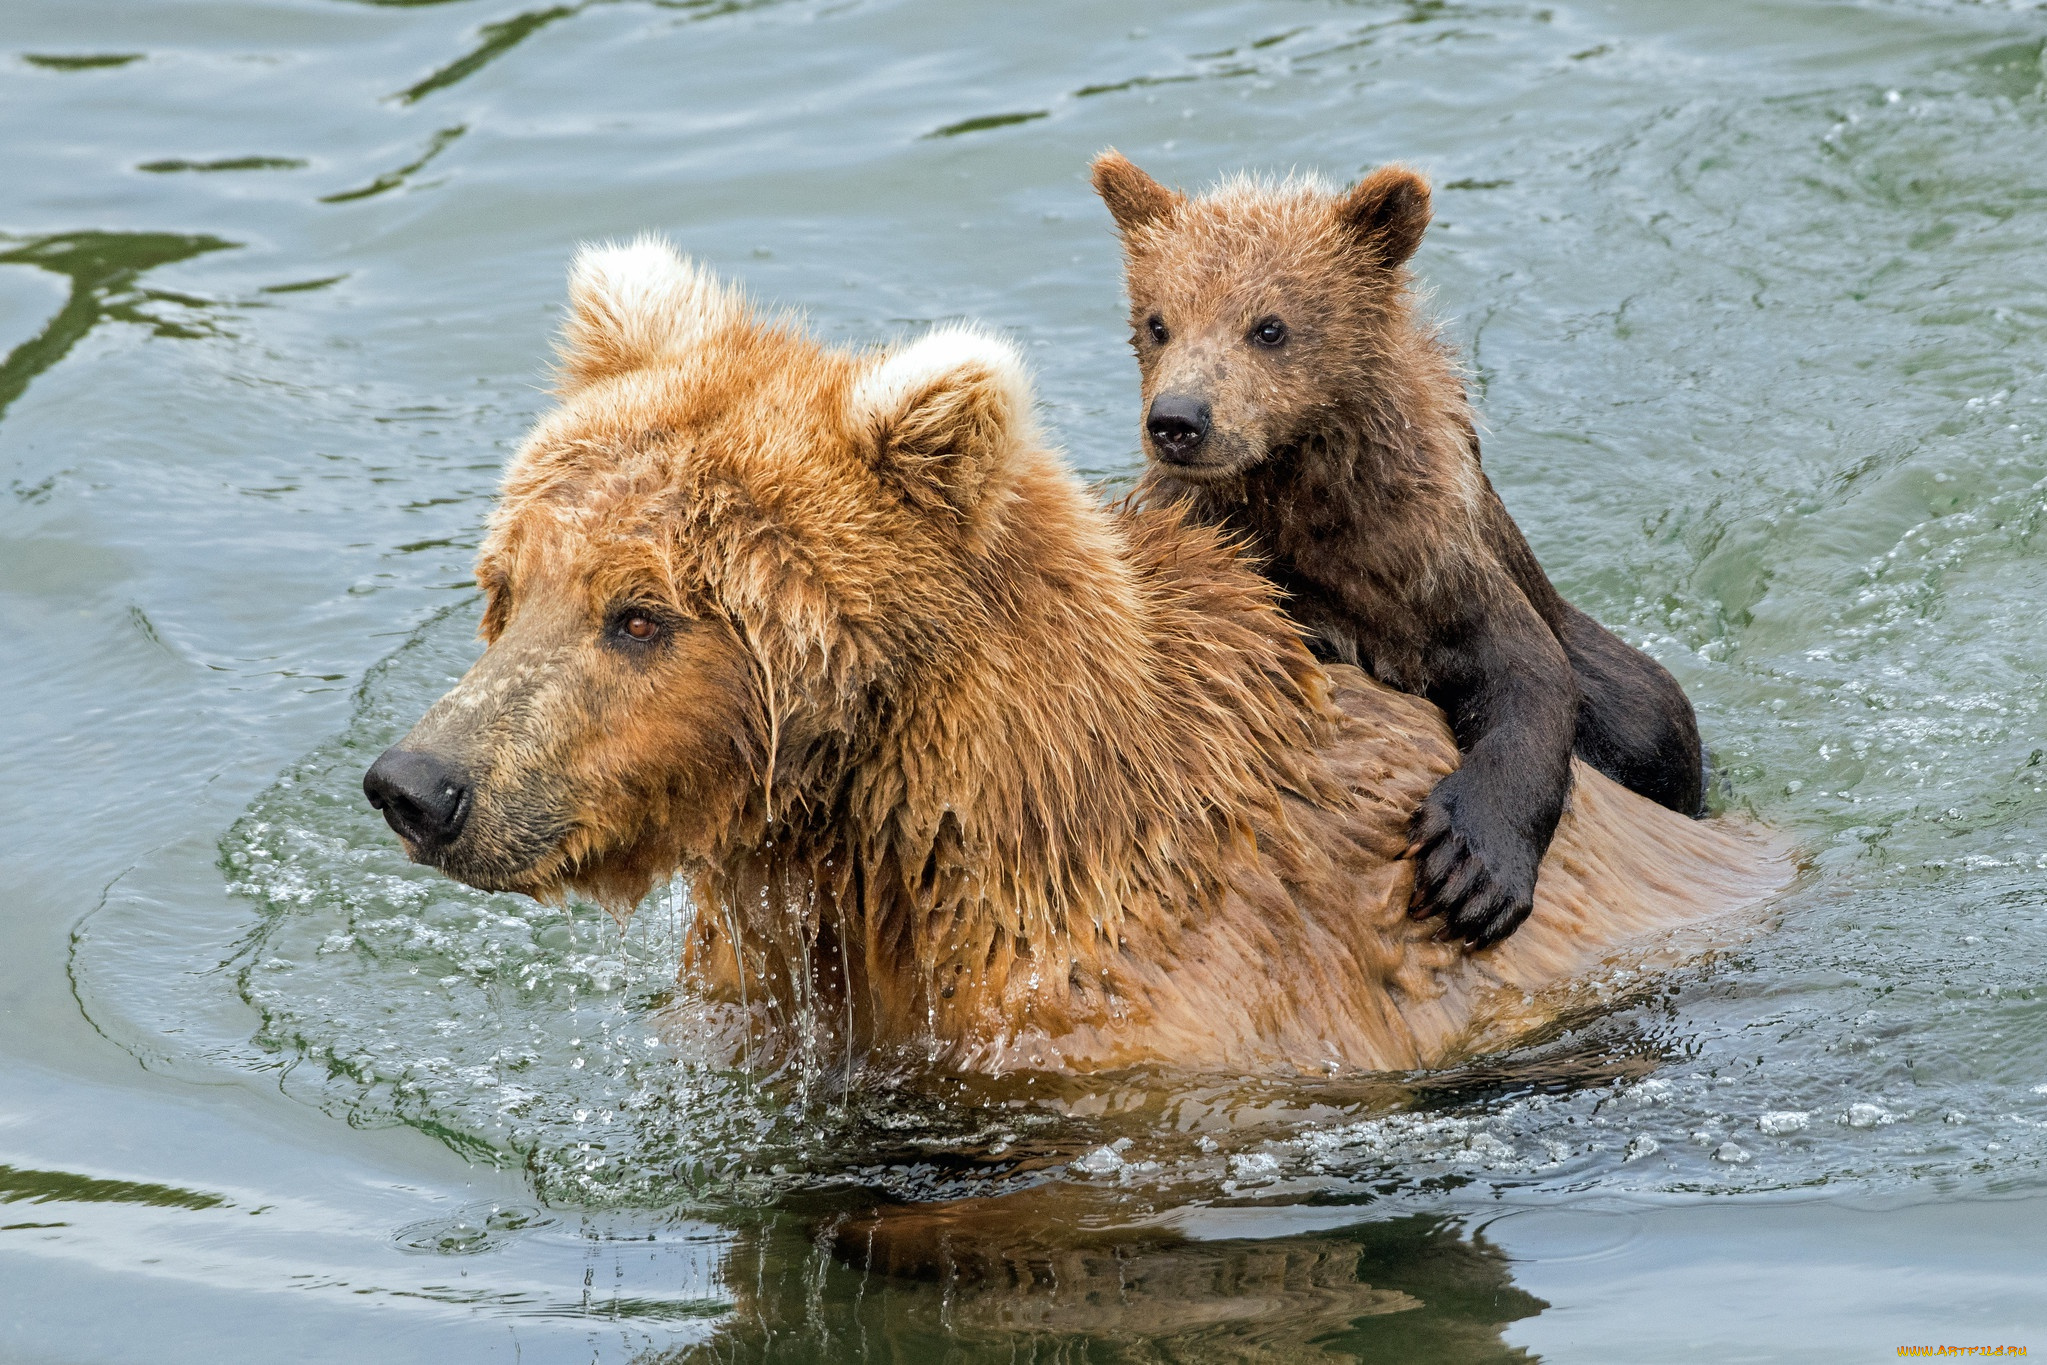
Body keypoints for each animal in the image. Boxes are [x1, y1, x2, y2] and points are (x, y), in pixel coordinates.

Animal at [1090, 151, 1707, 951]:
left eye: (1269, 326)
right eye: (1157, 321)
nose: (1179, 419)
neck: (1301, 494)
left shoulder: (1430, 564)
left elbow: (1529, 677)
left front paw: (1470, 871)